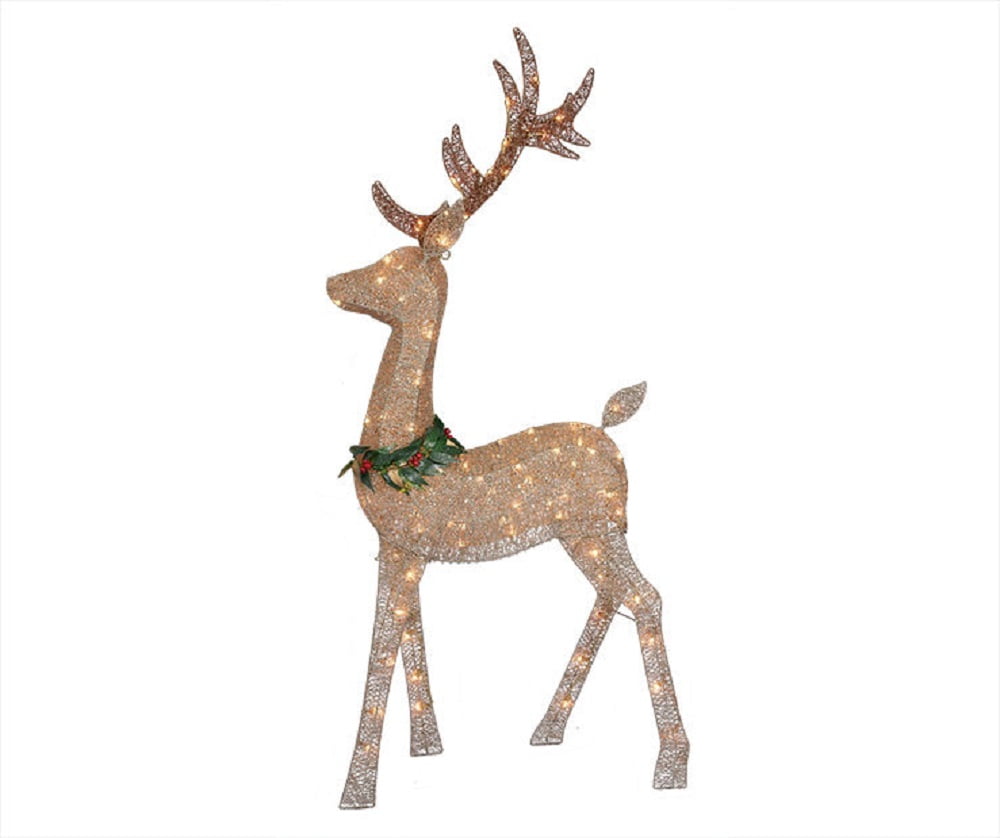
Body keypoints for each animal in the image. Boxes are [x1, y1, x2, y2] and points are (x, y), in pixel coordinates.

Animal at [328, 28, 688, 809]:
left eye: (393, 261)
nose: (333, 282)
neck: (406, 452)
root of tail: (609, 428)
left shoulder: (398, 550)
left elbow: (379, 650)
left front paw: (356, 791)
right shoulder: (405, 549)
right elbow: (411, 639)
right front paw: (427, 747)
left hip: (595, 525)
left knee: (646, 597)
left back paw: (671, 764)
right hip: (587, 532)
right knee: (615, 596)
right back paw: (546, 729)